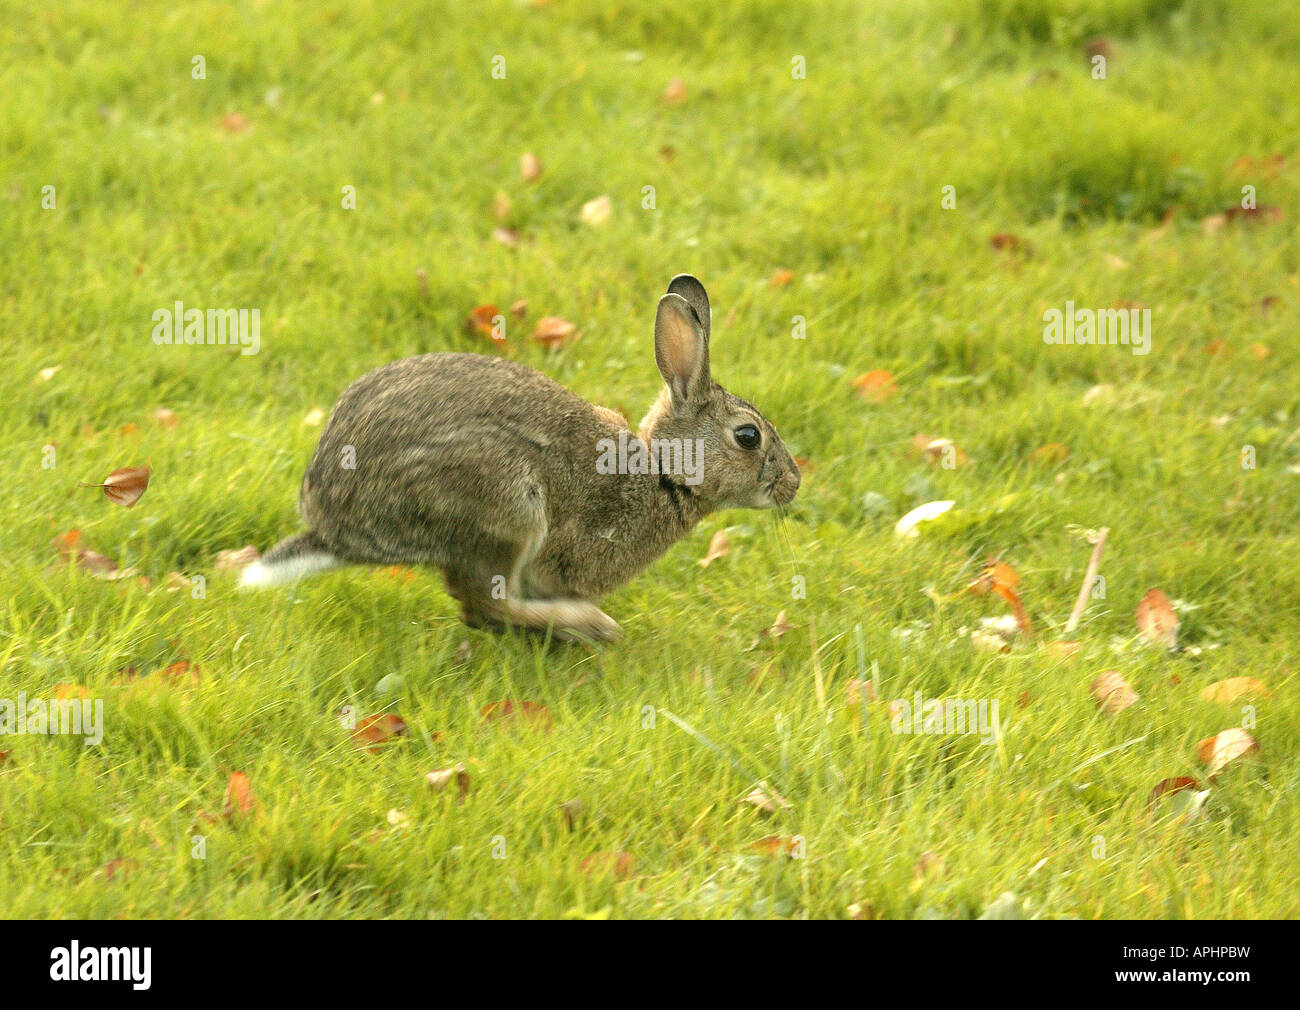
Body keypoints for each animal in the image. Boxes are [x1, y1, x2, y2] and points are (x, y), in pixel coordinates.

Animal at [239, 274, 800, 641]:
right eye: (748, 437)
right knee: (486, 604)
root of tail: (336, 524)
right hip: (506, 510)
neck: (664, 471)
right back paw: (596, 628)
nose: (793, 483)